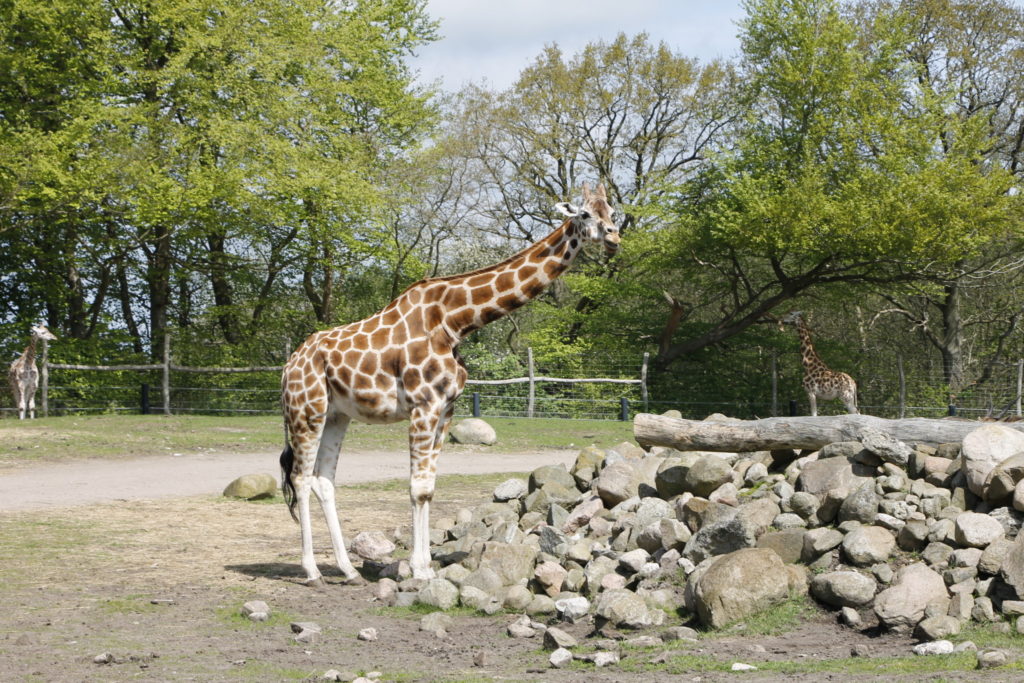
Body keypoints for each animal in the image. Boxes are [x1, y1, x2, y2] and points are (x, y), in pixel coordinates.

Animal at [276, 184, 618, 585]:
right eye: (584, 214)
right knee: (300, 478)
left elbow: (429, 488)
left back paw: (347, 570)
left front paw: (424, 566)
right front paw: (419, 571)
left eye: (612, 211)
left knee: (323, 480)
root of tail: (289, 365)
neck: (456, 322)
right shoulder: (423, 405)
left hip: (336, 415)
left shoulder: (446, 407)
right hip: (306, 410)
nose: (613, 238)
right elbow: (417, 488)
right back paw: (312, 570)